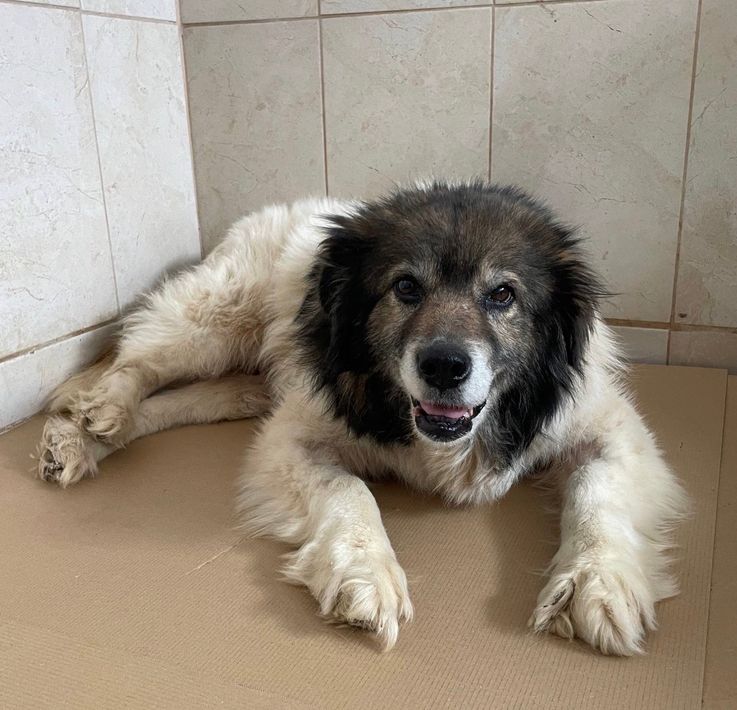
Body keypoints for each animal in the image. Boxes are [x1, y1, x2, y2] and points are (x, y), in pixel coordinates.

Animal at [37, 181, 687, 655]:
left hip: (238, 384)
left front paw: (596, 583)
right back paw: (96, 414)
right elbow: (350, 493)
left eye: (502, 295)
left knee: (171, 405)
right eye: (406, 287)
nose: (443, 365)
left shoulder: (611, 432)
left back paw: (81, 440)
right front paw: (367, 575)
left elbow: (597, 492)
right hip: (211, 325)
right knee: (134, 362)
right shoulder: (292, 439)